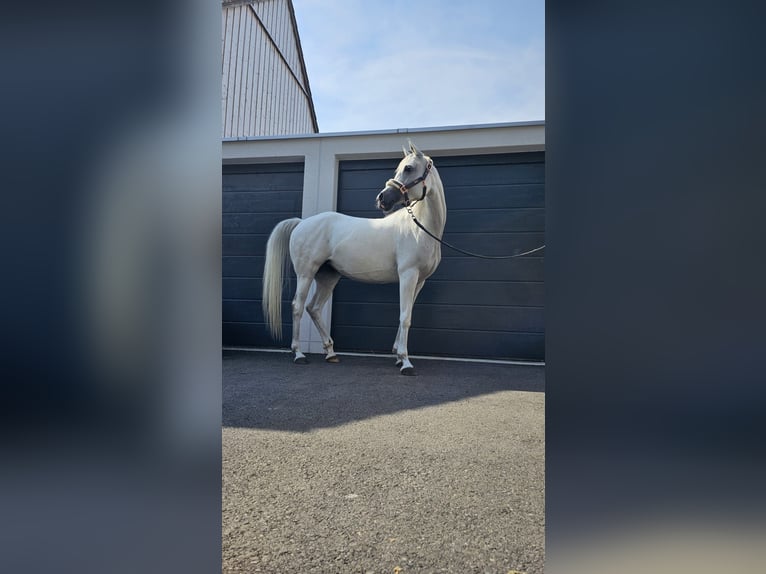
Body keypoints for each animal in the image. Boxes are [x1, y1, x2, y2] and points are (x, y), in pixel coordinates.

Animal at [262, 143, 448, 376]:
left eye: (409, 168)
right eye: (401, 168)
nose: (382, 199)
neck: (419, 228)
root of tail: (301, 223)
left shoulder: (419, 280)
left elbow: (406, 314)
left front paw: (398, 356)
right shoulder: (408, 275)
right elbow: (405, 317)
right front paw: (405, 363)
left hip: (328, 277)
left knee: (314, 308)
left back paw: (331, 353)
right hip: (306, 273)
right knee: (298, 306)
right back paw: (299, 354)